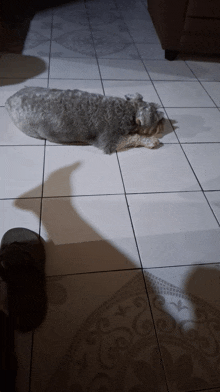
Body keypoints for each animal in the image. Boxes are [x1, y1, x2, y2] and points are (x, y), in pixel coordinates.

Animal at [4, 87, 163, 155]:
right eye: (155, 115)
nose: (163, 117)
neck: (126, 110)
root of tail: (9, 100)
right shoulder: (109, 141)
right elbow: (133, 137)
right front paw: (151, 141)